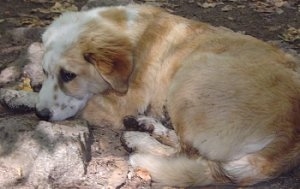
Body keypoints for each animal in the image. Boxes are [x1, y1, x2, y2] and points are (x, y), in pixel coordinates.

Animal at [36, 4, 300, 188]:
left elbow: (82, 103)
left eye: (68, 75)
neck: (131, 35)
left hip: (190, 76)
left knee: (187, 154)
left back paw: (137, 140)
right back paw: (147, 125)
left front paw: (25, 97)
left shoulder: (122, 103)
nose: (40, 114)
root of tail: (289, 139)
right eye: (45, 70)